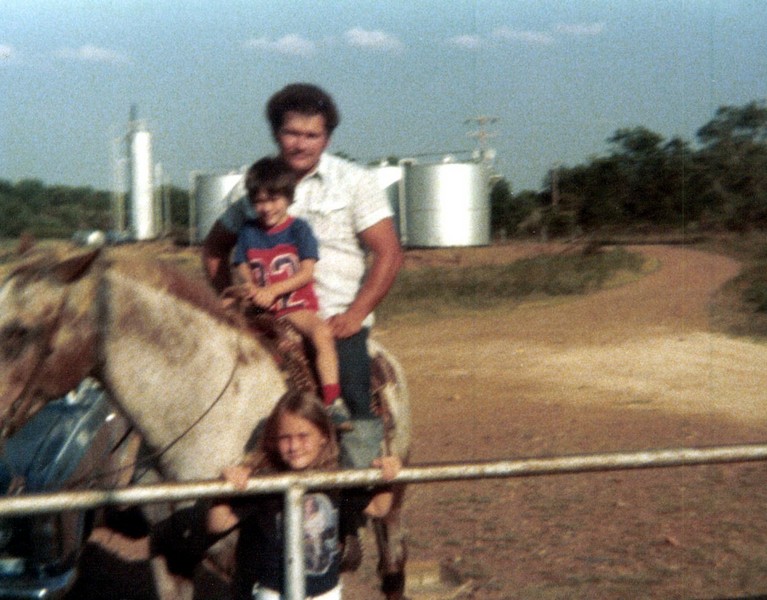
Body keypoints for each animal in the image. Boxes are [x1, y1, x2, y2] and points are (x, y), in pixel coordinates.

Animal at [0, 245, 410, 600]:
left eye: (19, 330)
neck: (208, 423)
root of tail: (385, 360)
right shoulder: (170, 553)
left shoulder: (245, 563)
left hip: (392, 508)